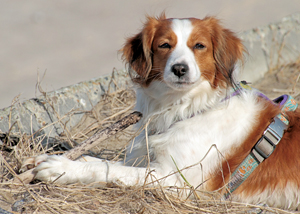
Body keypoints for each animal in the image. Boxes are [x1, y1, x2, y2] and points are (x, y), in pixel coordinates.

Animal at [24, 14, 300, 210]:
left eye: (199, 46)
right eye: (165, 45)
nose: (179, 68)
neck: (187, 108)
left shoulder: (177, 181)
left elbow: (113, 170)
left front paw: (62, 168)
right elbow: (106, 162)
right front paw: (72, 159)